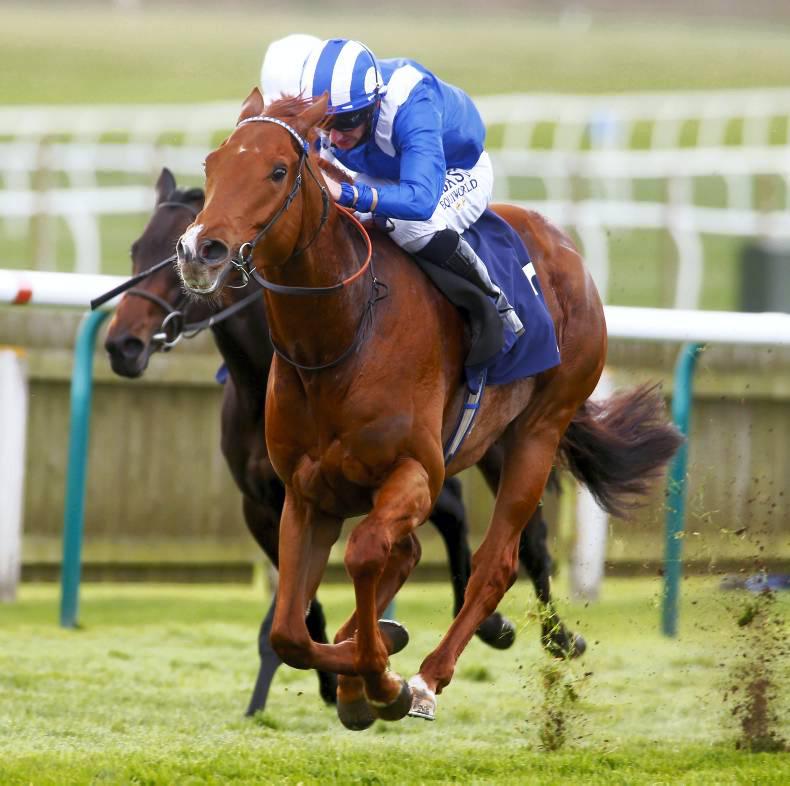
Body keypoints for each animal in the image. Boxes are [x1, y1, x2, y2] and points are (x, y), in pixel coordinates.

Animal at [175, 90, 681, 728]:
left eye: (278, 170)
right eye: (212, 165)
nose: (200, 251)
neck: (342, 334)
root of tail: (564, 247)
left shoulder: (416, 472)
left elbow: (366, 552)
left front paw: (382, 679)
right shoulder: (305, 494)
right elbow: (290, 631)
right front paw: (366, 666)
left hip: (538, 432)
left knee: (495, 563)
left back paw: (426, 678)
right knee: (418, 556)